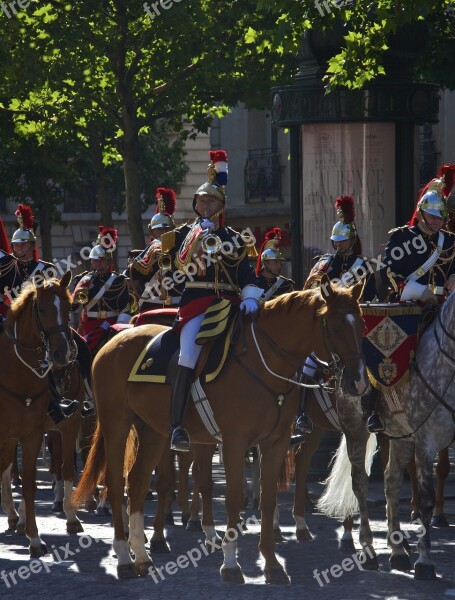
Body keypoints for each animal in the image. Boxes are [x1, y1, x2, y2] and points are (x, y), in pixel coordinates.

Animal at [0, 274, 83, 556]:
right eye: (43, 309)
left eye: (69, 308)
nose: (62, 354)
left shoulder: (37, 433)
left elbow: (33, 482)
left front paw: (35, 537)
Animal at [73, 278, 368, 584]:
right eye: (334, 326)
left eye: (361, 324)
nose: (358, 382)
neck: (263, 363)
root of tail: (114, 341)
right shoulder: (234, 441)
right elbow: (233, 497)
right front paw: (230, 563)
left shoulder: (275, 442)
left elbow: (268, 497)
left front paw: (272, 564)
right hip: (116, 424)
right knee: (116, 482)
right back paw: (123, 557)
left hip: (153, 431)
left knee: (138, 481)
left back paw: (142, 557)